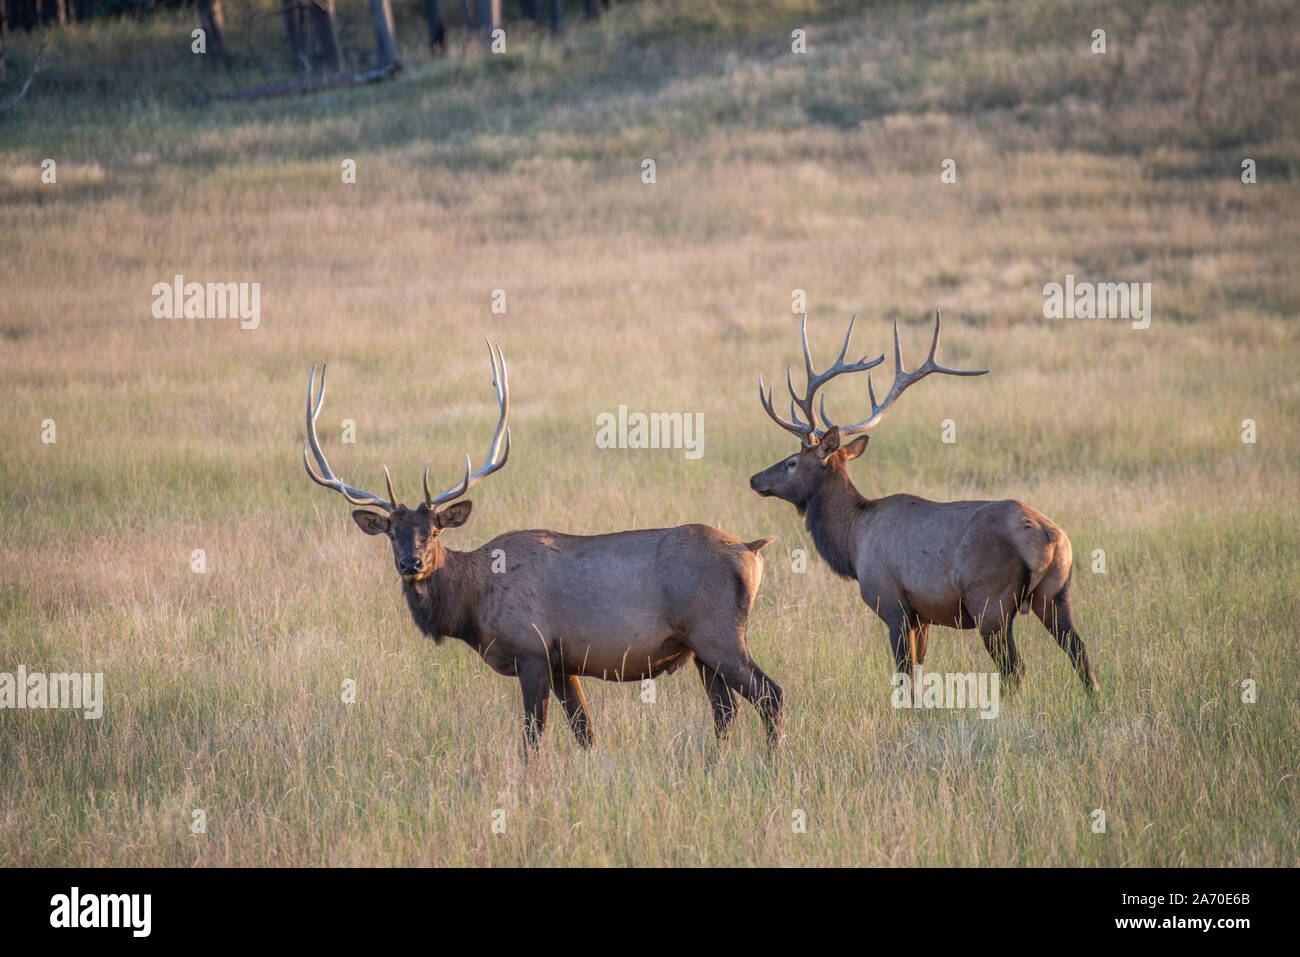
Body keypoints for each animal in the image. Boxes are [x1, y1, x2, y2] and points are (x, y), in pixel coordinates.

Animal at [304, 340, 780, 748]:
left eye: (435, 531)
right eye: (391, 532)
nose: (412, 563)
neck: (473, 604)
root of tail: (752, 549)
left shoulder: (532, 651)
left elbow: (533, 738)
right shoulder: (563, 663)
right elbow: (585, 732)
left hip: (718, 633)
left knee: (768, 695)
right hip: (701, 649)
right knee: (726, 711)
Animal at [754, 314, 1097, 696]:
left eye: (791, 462)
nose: (755, 479)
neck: (853, 542)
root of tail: (1052, 539)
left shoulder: (893, 604)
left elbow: (905, 674)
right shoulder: (923, 615)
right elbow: (918, 670)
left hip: (990, 602)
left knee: (1015, 669)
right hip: (1055, 593)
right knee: (1081, 653)